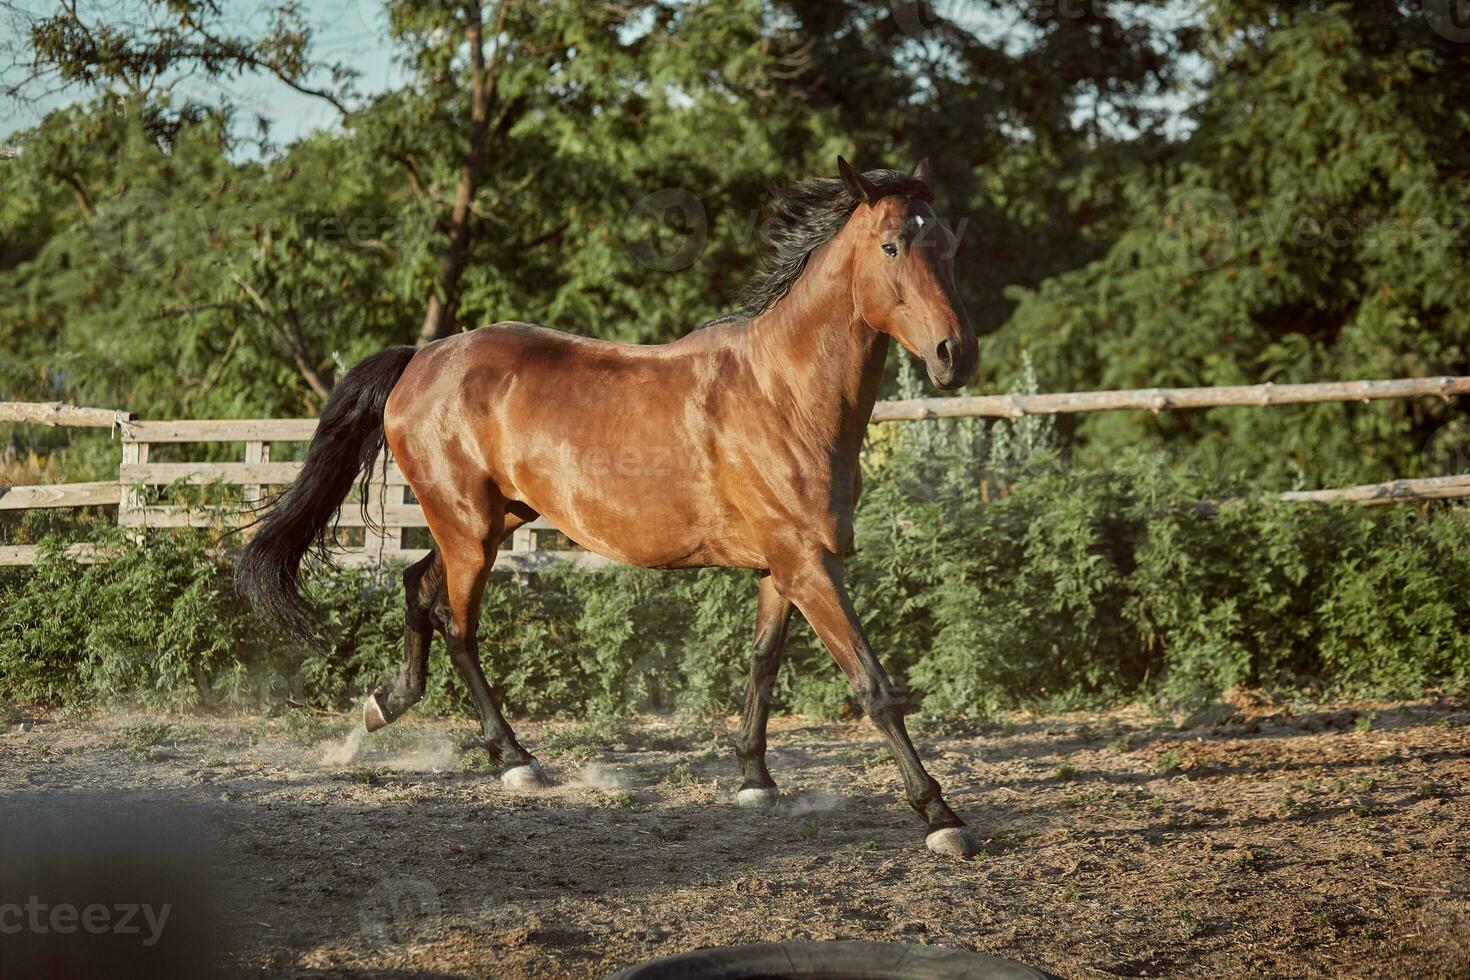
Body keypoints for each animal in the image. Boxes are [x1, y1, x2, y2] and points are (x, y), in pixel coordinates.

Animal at [235, 157, 981, 852]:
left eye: (948, 243)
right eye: (892, 245)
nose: (957, 355)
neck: (783, 394)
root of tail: (422, 359)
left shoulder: (784, 567)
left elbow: (762, 662)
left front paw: (754, 780)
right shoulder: (808, 565)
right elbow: (874, 686)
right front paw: (941, 818)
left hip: (494, 520)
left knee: (417, 585)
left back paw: (384, 707)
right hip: (469, 530)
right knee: (457, 625)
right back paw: (514, 760)